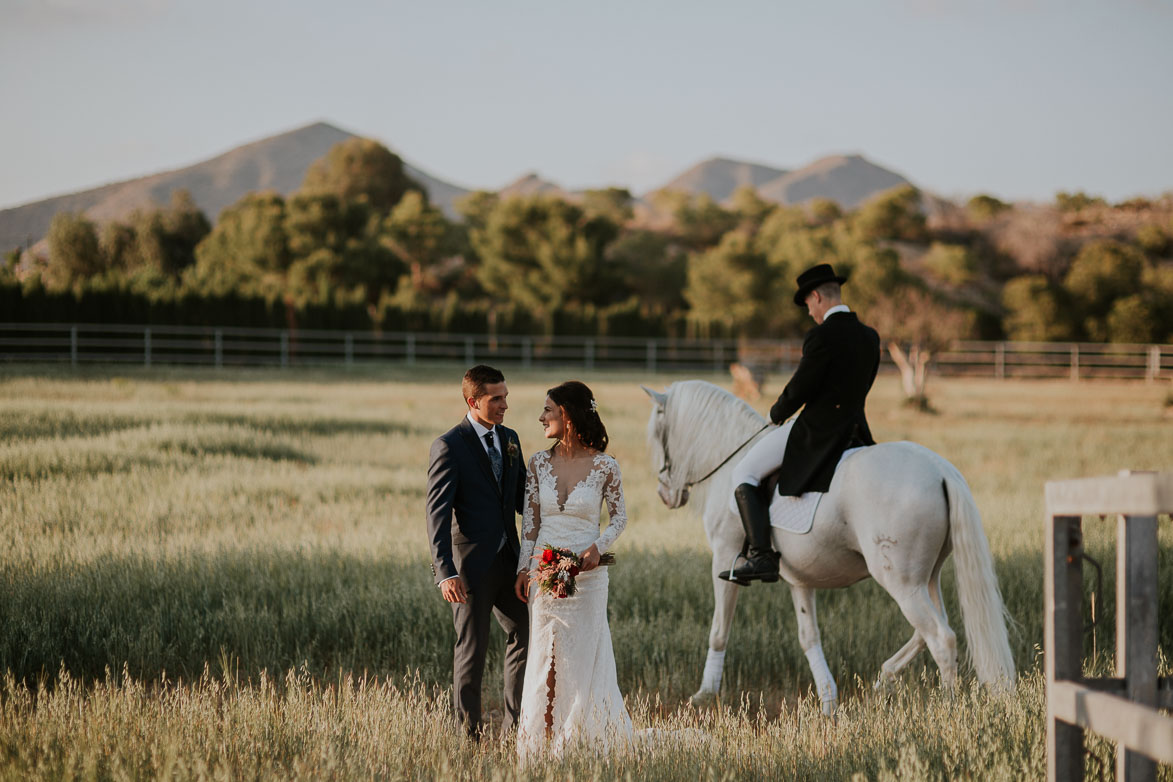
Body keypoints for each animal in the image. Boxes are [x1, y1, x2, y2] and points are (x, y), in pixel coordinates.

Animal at [647, 379, 1013, 717]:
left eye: (654, 435)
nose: (665, 495)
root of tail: (941, 470)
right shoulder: (799, 579)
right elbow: (808, 637)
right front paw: (828, 702)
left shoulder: (724, 557)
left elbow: (719, 630)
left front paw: (704, 694)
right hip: (927, 577)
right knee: (931, 630)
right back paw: (883, 680)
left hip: (902, 582)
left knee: (941, 638)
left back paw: (948, 710)